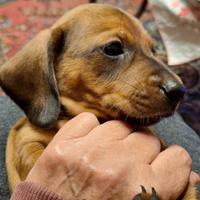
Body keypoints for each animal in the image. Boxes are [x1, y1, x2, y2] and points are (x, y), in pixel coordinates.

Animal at [0, 3, 198, 200]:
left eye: (154, 50)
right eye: (113, 48)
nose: (179, 91)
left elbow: (189, 192)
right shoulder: (28, 139)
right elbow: (33, 155)